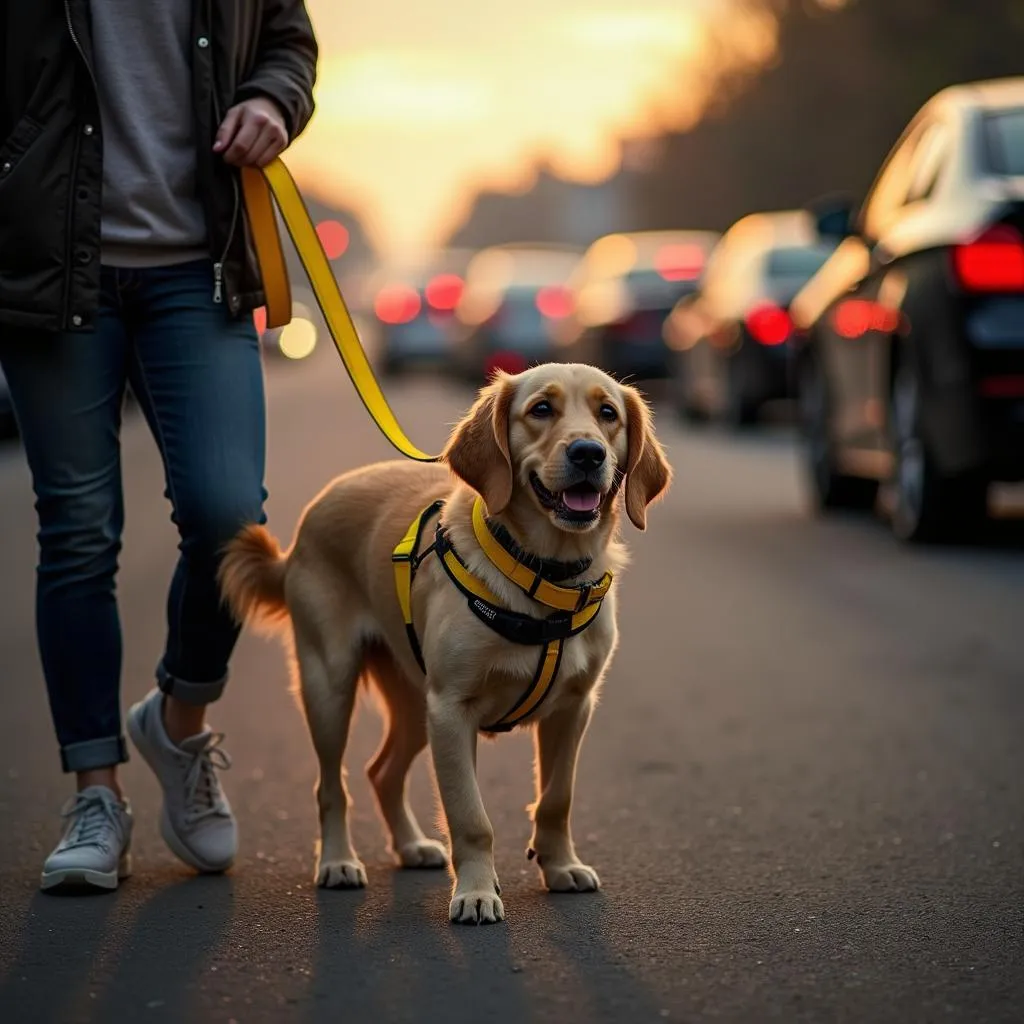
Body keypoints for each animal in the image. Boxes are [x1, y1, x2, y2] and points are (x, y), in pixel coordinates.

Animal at [216, 364, 671, 925]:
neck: (543, 579)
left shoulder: (573, 709)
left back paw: (411, 846)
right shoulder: (452, 711)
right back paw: (338, 861)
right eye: (541, 409)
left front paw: (561, 866)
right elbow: (470, 817)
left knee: (382, 772)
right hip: (331, 686)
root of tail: (306, 524)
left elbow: (555, 799)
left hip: (414, 705)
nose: (588, 453)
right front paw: (476, 892)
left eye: (608, 413)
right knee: (331, 785)